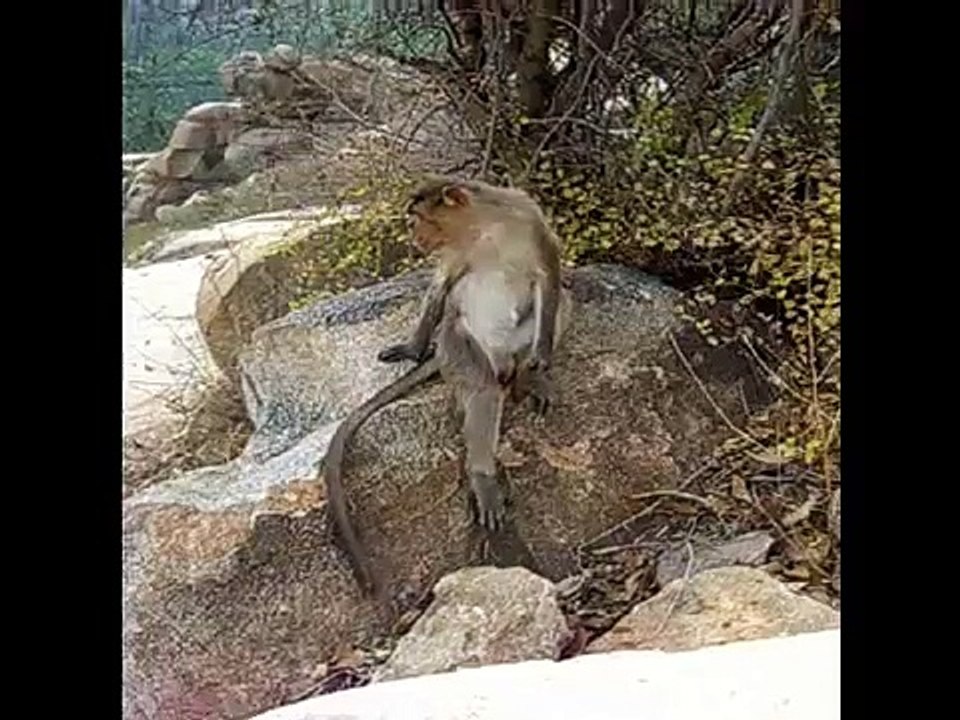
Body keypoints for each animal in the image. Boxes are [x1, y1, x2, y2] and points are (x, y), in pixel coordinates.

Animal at [320, 174, 571, 603]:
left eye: (417, 219)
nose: (414, 238)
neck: (484, 228)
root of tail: (502, 357)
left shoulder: (529, 220)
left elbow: (549, 276)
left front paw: (541, 360)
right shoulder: (456, 254)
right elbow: (442, 287)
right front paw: (412, 347)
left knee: (561, 305)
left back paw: (529, 375)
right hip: (461, 347)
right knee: (482, 387)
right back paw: (483, 472)